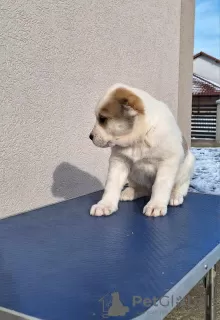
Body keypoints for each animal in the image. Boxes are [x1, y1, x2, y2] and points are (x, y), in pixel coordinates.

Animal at [88, 83, 195, 218]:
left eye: (102, 119)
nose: (90, 136)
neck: (140, 137)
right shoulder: (119, 161)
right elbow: (111, 184)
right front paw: (105, 205)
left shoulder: (168, 162)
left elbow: (161, 185)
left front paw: (156, 205)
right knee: (141, 188)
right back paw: (130, 192)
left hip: (189, 163)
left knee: (181, 186)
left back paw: (174, 196)